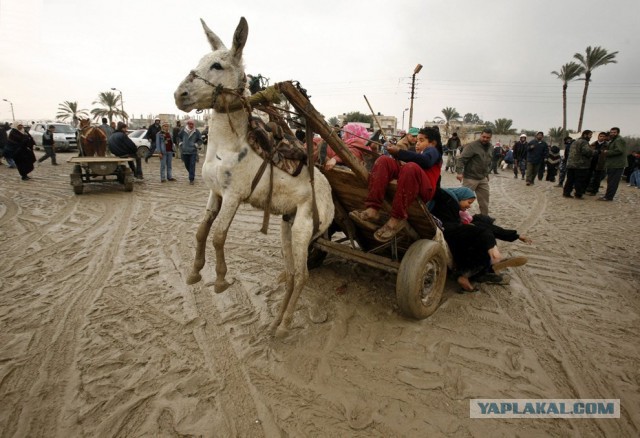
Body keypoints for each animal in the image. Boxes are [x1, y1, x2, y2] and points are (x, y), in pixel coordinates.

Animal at [175, 16, 336, 332]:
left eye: (217, 66)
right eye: (200, 60)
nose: (180, 95)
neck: (229, 144)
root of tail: (332, 198)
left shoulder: (233, 196)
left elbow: (218, 236)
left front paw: (221, 280)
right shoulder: (215, 192)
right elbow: (201, 231)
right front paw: (194, 273)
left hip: (303, 230)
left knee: (302, 276)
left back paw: (285, 325)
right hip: (288, 226)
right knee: (291, 272)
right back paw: (275, 324)